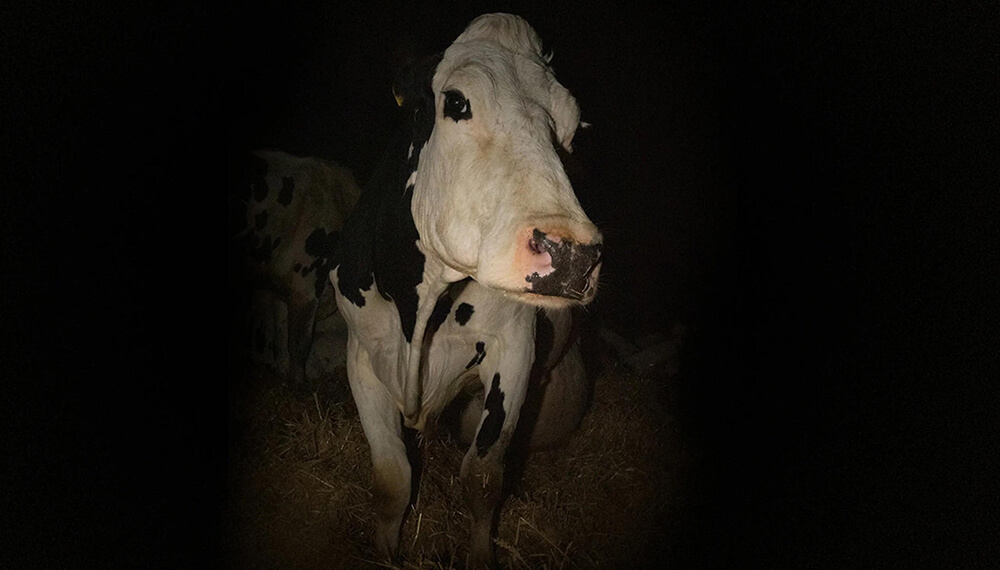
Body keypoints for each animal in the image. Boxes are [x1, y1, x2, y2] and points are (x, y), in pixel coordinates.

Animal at [330, 14, 603, 567]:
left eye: (571, 128)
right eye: (456, 102)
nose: (573, 255)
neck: (419, 311)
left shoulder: (513, 348)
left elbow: (481, 476)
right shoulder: (361, 352)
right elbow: (391, 477)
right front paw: (385, 548)